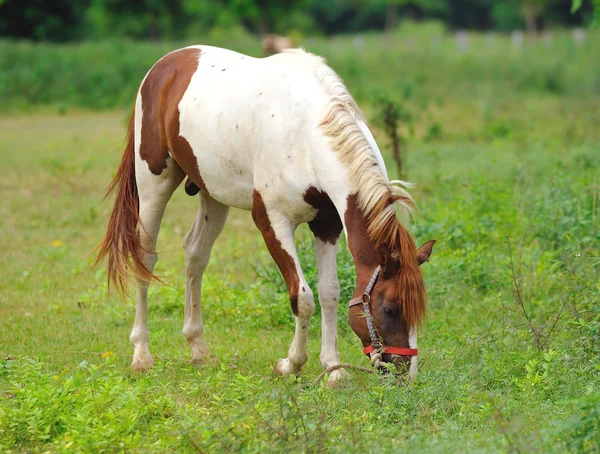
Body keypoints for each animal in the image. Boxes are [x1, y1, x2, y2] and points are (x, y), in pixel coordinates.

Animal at [97, 45, 436, 386]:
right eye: (390, 308)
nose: (406, 373)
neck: (306, 136)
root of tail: (164, 66)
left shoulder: (327, 224)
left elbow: (329, 293)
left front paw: (333, 369)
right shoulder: (272, 223)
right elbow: (302, 297)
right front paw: (291, 364)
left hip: (213, 195)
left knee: (195, 255)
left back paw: (199, 349)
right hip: (154, 185)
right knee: (145, 258)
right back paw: (142, 354)